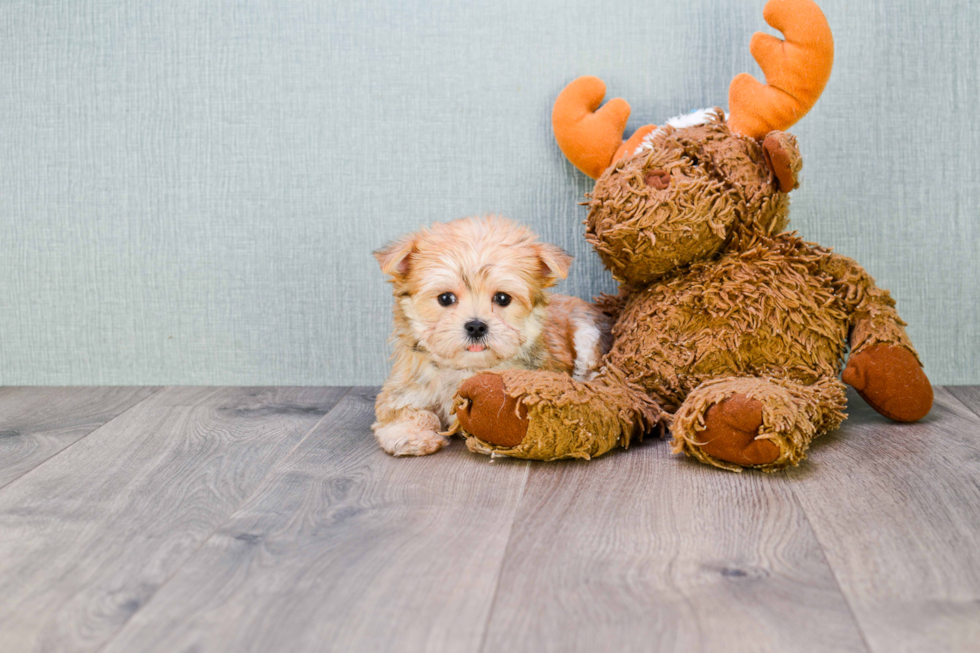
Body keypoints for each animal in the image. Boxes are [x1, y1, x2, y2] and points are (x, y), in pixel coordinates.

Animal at [372, 216, 608, 456]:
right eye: (445, 298)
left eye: (503, 298)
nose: (476, 326)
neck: (468, 367)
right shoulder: (407, 387)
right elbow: (402, 411)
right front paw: (411, 434)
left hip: (587, 331)